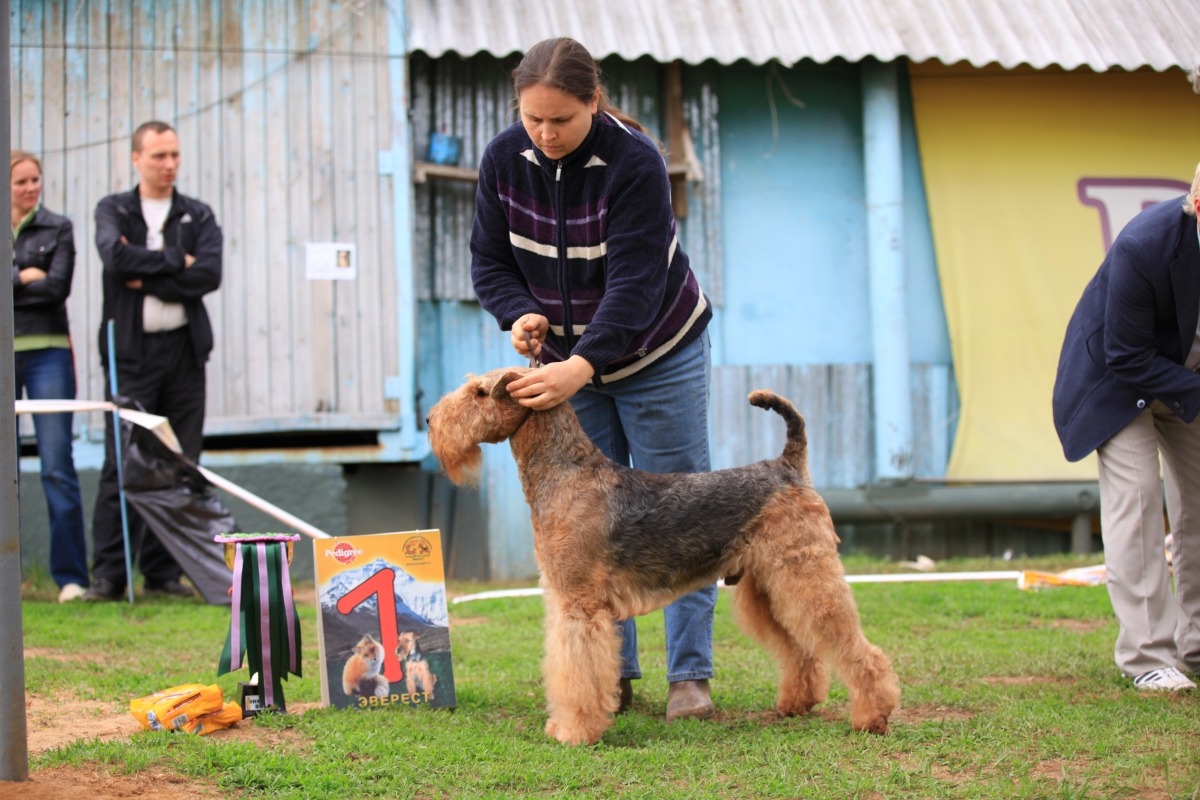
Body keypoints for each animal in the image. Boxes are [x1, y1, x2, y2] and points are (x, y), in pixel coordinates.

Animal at [427, 369, 897, 743]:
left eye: (480, 393)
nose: (430, 421)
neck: (565, 473)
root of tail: (788, 467)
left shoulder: (579, 606)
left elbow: (576, 675)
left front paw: (573, 732)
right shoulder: (568, 602)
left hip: (805, 575)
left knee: (862, 653)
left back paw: (873, 717)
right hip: (768, 587)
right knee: (802, 651)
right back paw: (796, 704)